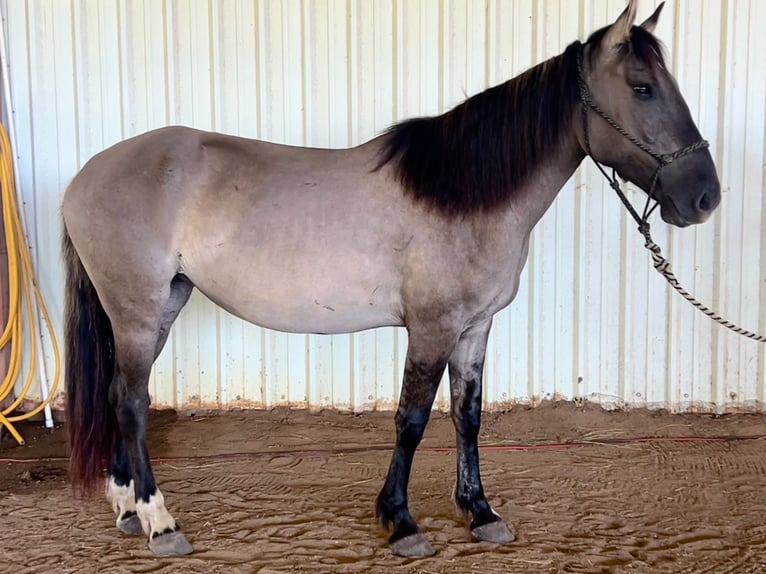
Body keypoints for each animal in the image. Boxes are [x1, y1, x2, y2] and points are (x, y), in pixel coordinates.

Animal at [62, 0, 720, 558]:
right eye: (642, 88)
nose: (705, 197)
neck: (463, 194)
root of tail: (84, 175)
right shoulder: (432, 329)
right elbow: (412, 420)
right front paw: (401, 521)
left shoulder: (474, 328)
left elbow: (467, 415)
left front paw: (480, 513)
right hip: (138, 312)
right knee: (133, 402)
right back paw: (160, 521)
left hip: (162, 306)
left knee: (121, 397)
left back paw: (127, 509)